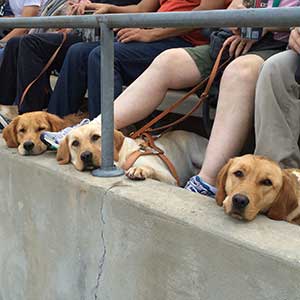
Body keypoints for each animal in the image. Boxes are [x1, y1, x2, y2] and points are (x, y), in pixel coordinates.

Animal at [56, 123, 207, 186]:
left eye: (95, 137)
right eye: (75, 143)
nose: (85, 156)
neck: (122, 158)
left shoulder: (170, 178)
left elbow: (150, 169)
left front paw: (138, 170)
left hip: (198, 155)